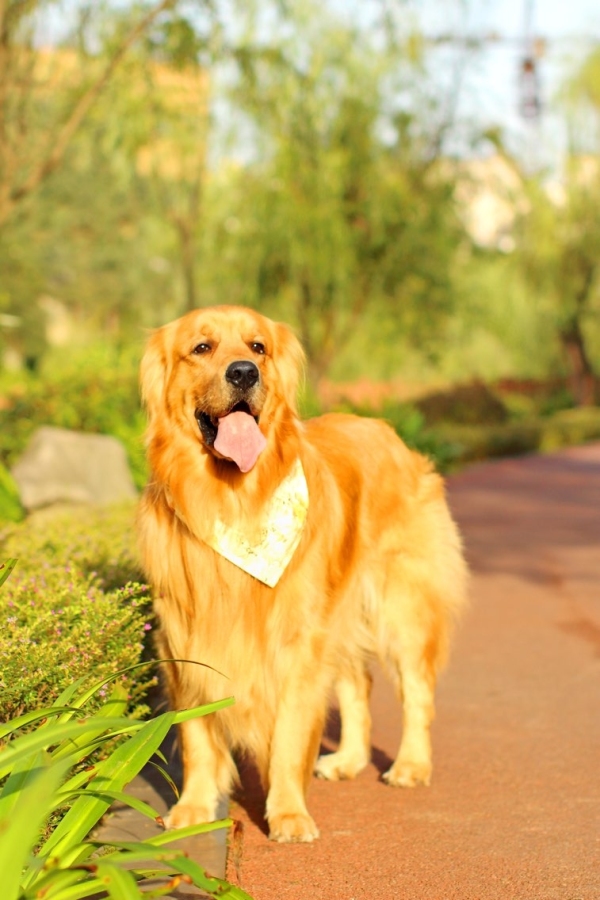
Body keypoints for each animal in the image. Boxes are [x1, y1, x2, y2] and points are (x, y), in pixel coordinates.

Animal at [137, 304, 468, 844]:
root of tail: (387, 430)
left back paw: (411, 765)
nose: (244, 373)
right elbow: (199, 735)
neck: (235, 500)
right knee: (358, 684)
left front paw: (289, 813)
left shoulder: (298, 640)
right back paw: (350, 759)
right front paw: (193, 808)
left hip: (401, 605)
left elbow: (290, 735)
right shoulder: (186, 637)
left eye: (258, 347)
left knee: (417, 691)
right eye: (202, 348)